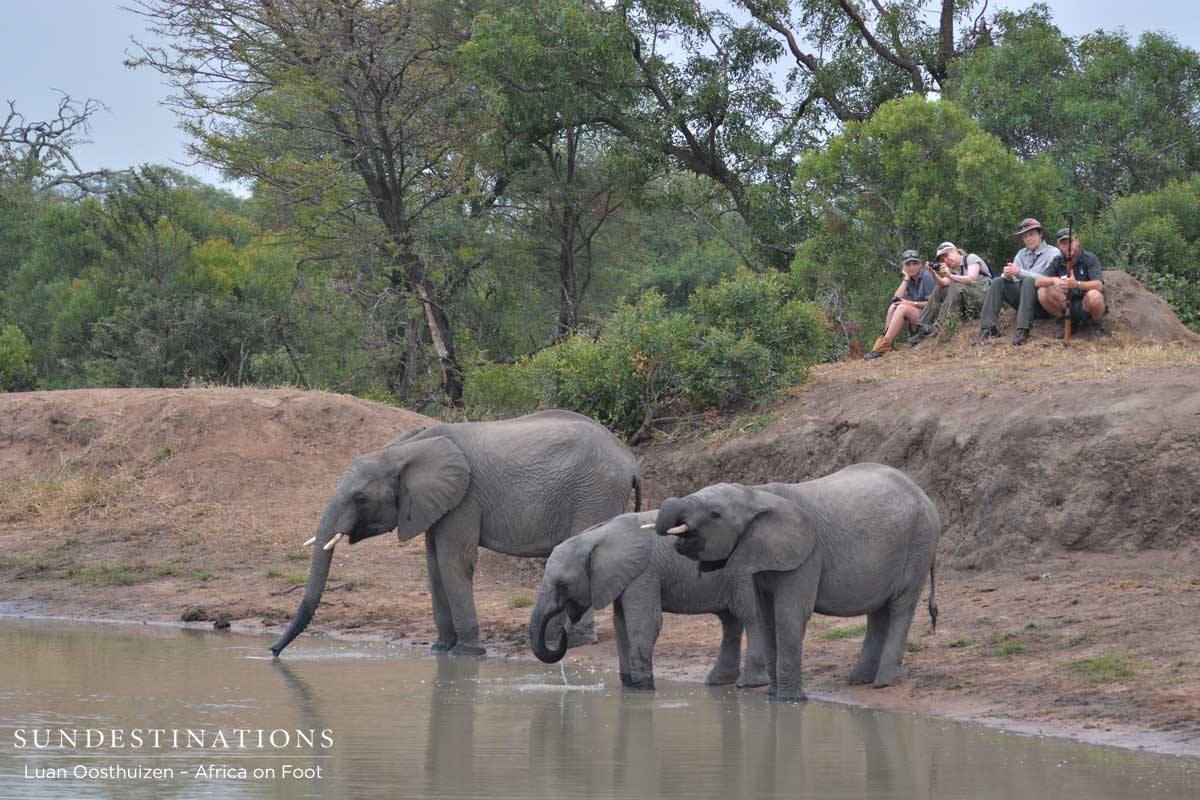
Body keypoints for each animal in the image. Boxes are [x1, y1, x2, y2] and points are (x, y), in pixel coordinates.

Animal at [270, 409, 641, 657]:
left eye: (360, 498)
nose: (273, 652)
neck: (405, 450)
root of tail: (630, 459)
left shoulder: (465, 497)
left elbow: (453, 561)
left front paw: (466, 654)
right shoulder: (435, 503)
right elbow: (434, 563)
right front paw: (439, 650)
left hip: (594, 493)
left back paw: (574, 642)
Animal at [528, 510, 769, 690]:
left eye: (562, 585)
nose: (562, 633)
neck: (596, 537)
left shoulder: (644, 573)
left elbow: (643, 624)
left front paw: (642, 686)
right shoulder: (623, 576)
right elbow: (621, 625)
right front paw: (628, 685)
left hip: (746, 570)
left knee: (750, 617)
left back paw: (749, 684)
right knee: (730, 621)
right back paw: (717, 682)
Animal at [653, 463, 939, 702]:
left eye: (715, 514)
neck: (757, 494)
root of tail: (923, 493)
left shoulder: (806, 555)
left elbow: (788, 614)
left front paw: (789, 701)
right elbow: (765, 617)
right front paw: (772, 697)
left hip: (919, 543)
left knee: (901, 603)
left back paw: (887, 681)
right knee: (879, 610)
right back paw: (861, 679)